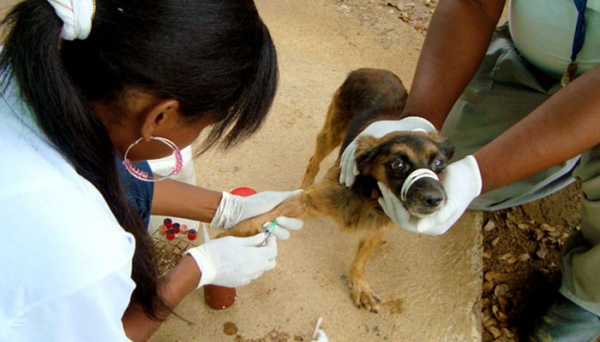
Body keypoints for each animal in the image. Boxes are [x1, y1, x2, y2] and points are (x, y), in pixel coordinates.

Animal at [218, 68, 452, 314]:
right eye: (397, 165)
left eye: (439, 163)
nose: (435, 199)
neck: (368, 196)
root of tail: (373, 70)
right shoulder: (309, 200)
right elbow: (260, 218)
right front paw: (227, 243)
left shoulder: (376, 229)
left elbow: (360, 260)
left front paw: (360, 285)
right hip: (331, 134)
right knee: (314, 161)